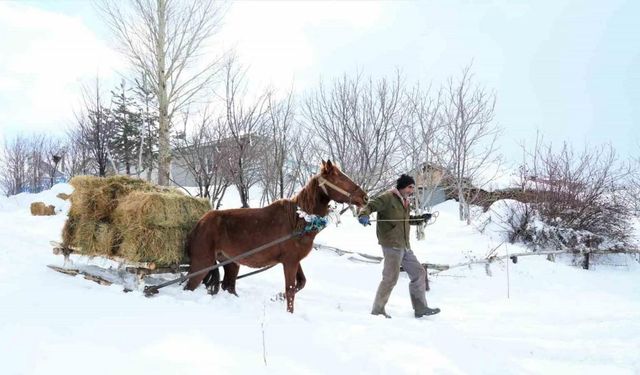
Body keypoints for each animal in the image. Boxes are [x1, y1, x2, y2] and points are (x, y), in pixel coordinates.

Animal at [182, 160, 368, 312]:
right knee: (189, 287)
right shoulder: (290, 262)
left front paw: (277, 297)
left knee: (229, 286)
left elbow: (301, 283)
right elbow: (291, 289)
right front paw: (289, 312)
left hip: (231, 263)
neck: (299, 219)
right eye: (339, 179)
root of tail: (199, 224)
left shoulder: (295, 260)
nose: (365, 197)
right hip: (201, 264)